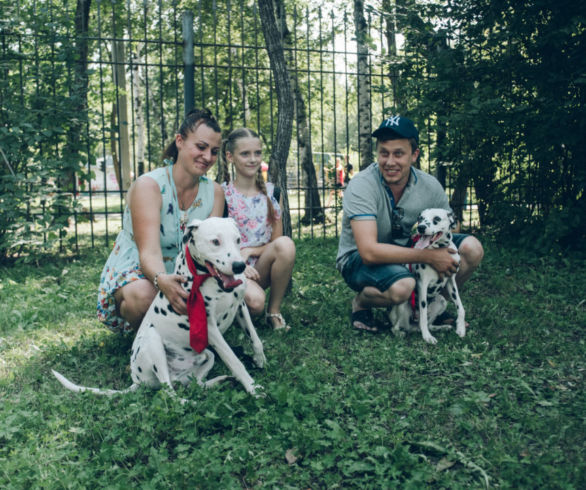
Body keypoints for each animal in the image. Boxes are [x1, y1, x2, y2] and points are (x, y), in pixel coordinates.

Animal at [52, 218, 264, 402]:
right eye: (215, 241)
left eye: (237, 239)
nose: (239, 266)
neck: (207, 279)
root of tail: (137, 381)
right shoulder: (209, 328)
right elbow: (235, 361)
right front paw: (253, 388)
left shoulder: (240, 307)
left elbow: (255, 338)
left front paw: (260, 359)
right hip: (152, 343)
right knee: (168, 392)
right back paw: (189, 403)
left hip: (207, 356)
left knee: (194, 384)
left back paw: (219, 381)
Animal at [388, 208, 466, 344]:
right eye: (421, 218)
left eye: (436, 219)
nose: (421, 227)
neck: (439, 249)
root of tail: (413, 327)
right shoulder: (422, 285)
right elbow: (423, 314)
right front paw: (427, 337)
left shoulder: (451, 282)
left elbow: (460, 307)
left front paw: (461, 328)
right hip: (402, 306)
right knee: (396, 327)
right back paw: (401, 332)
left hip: (442, 301)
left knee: (429, 324)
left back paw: (441, 327)